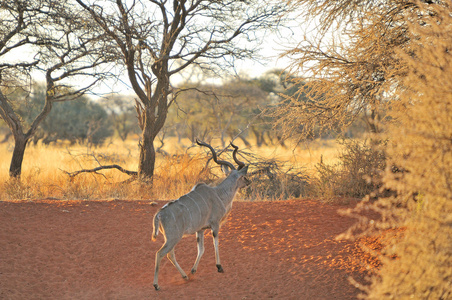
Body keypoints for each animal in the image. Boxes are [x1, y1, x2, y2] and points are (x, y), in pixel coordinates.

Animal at [152, 139, 251, 290]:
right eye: (244, 176)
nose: (249, 182)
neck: (219, 194)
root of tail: (159, 214)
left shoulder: (200, 230)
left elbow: (201, 249)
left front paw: (193, 271)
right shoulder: (215, 225)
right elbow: (216, 244)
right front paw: (219, 267)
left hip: (170, 238)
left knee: (170, 255)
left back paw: (185, 276)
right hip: (174, 237)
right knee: (160, 253)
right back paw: (156, 285)